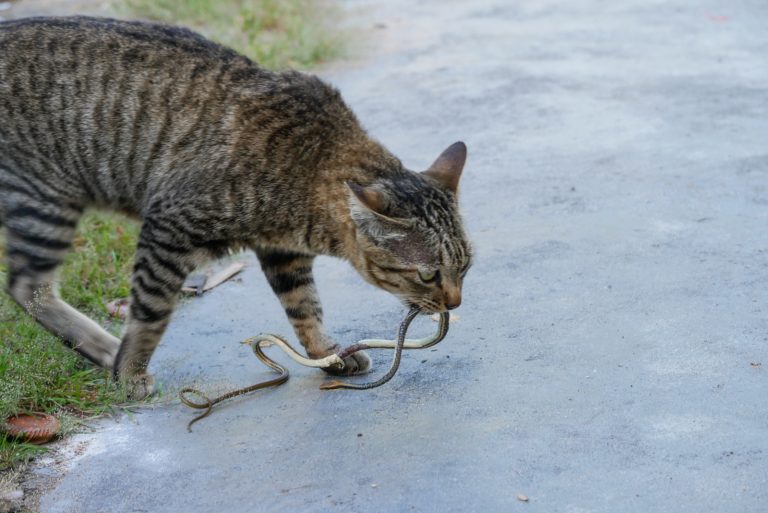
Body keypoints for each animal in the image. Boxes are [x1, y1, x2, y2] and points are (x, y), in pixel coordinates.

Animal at [0, 16, 472, 398]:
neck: (309, 164)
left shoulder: (284, 253)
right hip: (45, 202)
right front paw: (131, 371)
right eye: (427, 275)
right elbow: (150, 313)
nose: (455, 303)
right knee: (28, 288)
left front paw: (327, 354)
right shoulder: (168, 226)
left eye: (465, 267)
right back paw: (110, 352)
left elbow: (305, 307)